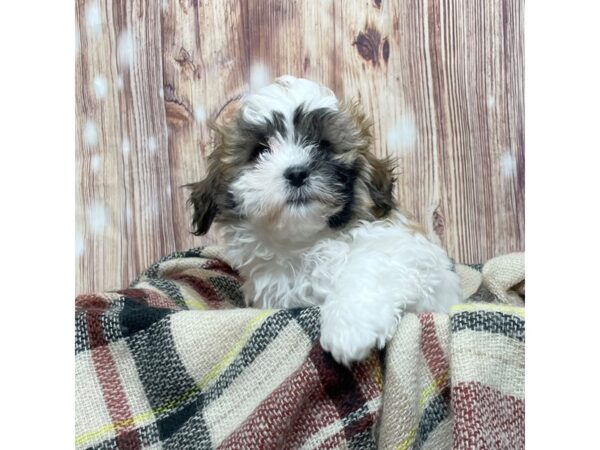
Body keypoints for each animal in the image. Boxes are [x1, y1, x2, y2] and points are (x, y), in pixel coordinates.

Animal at [190, 76, 462, 366]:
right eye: (260, 151)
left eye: (323, 145)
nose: (297, 173)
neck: (308, 244)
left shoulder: (412, 256)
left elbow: (370, 265)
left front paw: (349, 330)